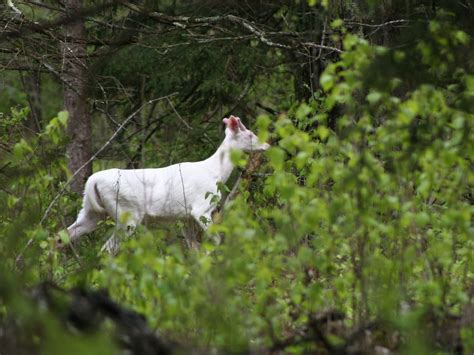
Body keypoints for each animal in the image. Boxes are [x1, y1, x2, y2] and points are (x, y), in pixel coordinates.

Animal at [65, 116, 268, 253]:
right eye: (250, 134)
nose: (267, 145)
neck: (215, 172)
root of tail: (92, 181)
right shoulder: (201, 209)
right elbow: (216, 240)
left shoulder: (186, 217)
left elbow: (194, 248)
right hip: (126, 213)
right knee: (107, 248)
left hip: (91, 211)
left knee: (65, 235)